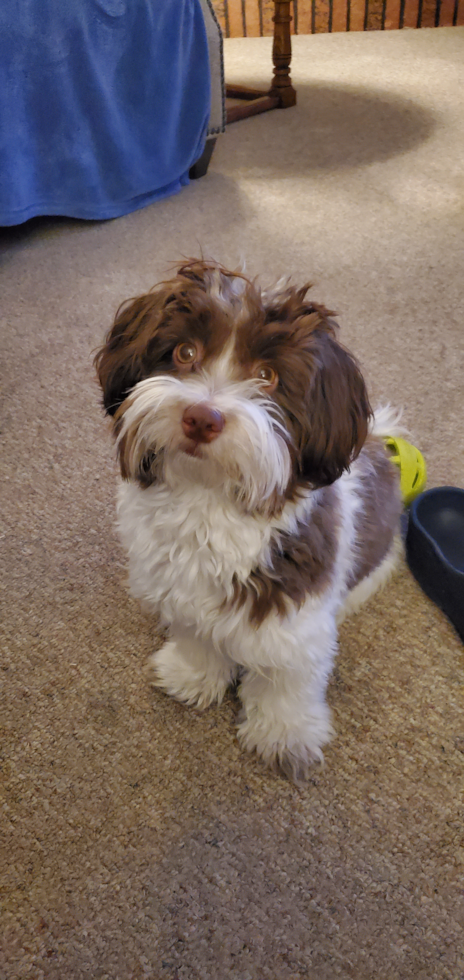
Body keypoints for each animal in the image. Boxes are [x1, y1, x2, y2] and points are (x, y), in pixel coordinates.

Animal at [95, 260, 402, 780]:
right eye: (184, 352)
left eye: (267, 375)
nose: (201, 418)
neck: (208, 500)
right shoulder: (181, 591)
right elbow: (197, 634)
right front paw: (193, 675)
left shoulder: (294, 614)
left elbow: (286, 676)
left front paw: (284, 734)